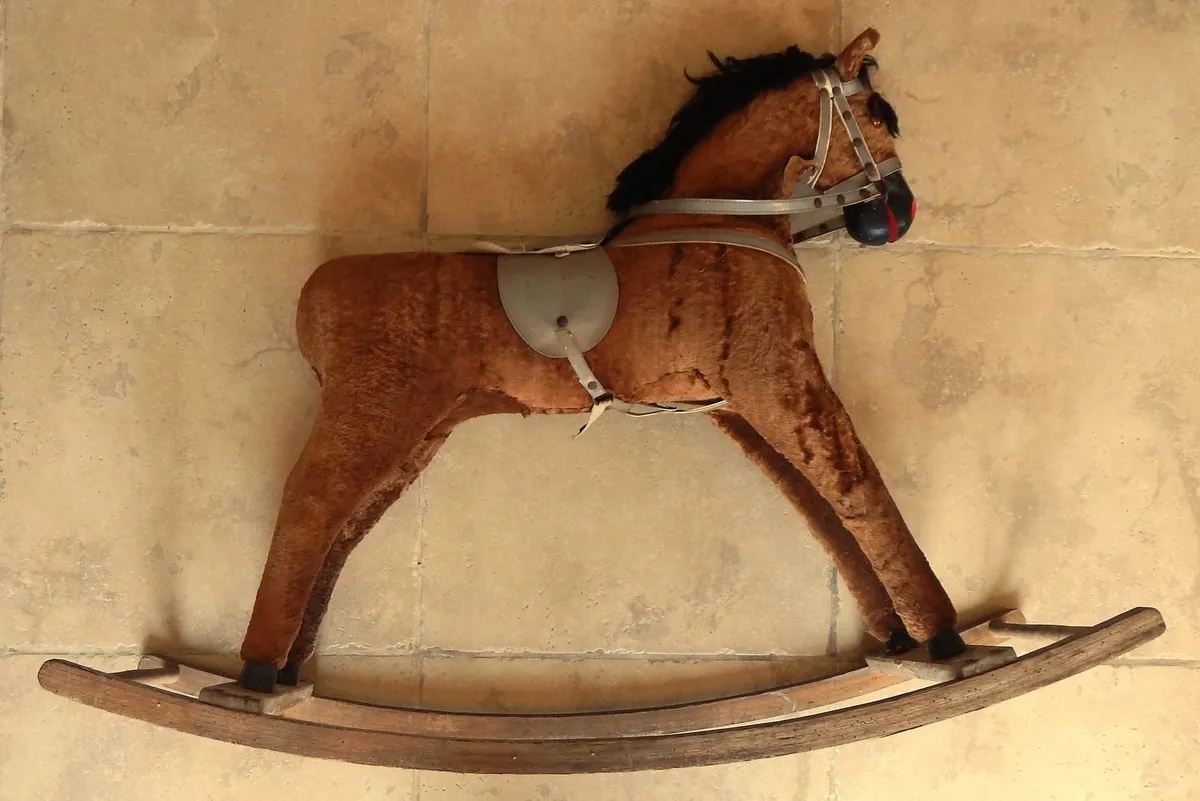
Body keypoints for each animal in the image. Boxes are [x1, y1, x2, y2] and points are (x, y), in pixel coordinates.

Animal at [234, 28, 967, 694]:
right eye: (877, 118)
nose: (901, 209)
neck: (729, 223)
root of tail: (314, 297)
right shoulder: (781, 380)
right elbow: (858, 486)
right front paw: (943, 637)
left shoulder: (737, 403)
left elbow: (818, 506)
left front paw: (896, 635)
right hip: (374, 413)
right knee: (311, 504)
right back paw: (257, 672)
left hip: (420, 431)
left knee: (343, 526)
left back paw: (289, 669)